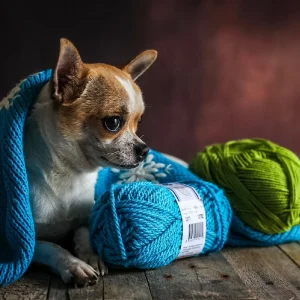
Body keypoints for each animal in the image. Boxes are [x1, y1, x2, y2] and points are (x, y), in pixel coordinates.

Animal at [23, 38, 157, 288]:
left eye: (139, 122)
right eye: (113, 123)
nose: (144, 150)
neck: (69, 173)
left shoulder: (86, 216)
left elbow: (85, 232)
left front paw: (91, 254)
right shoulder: (21, 240)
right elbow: (51, 247)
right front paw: (74, 265)